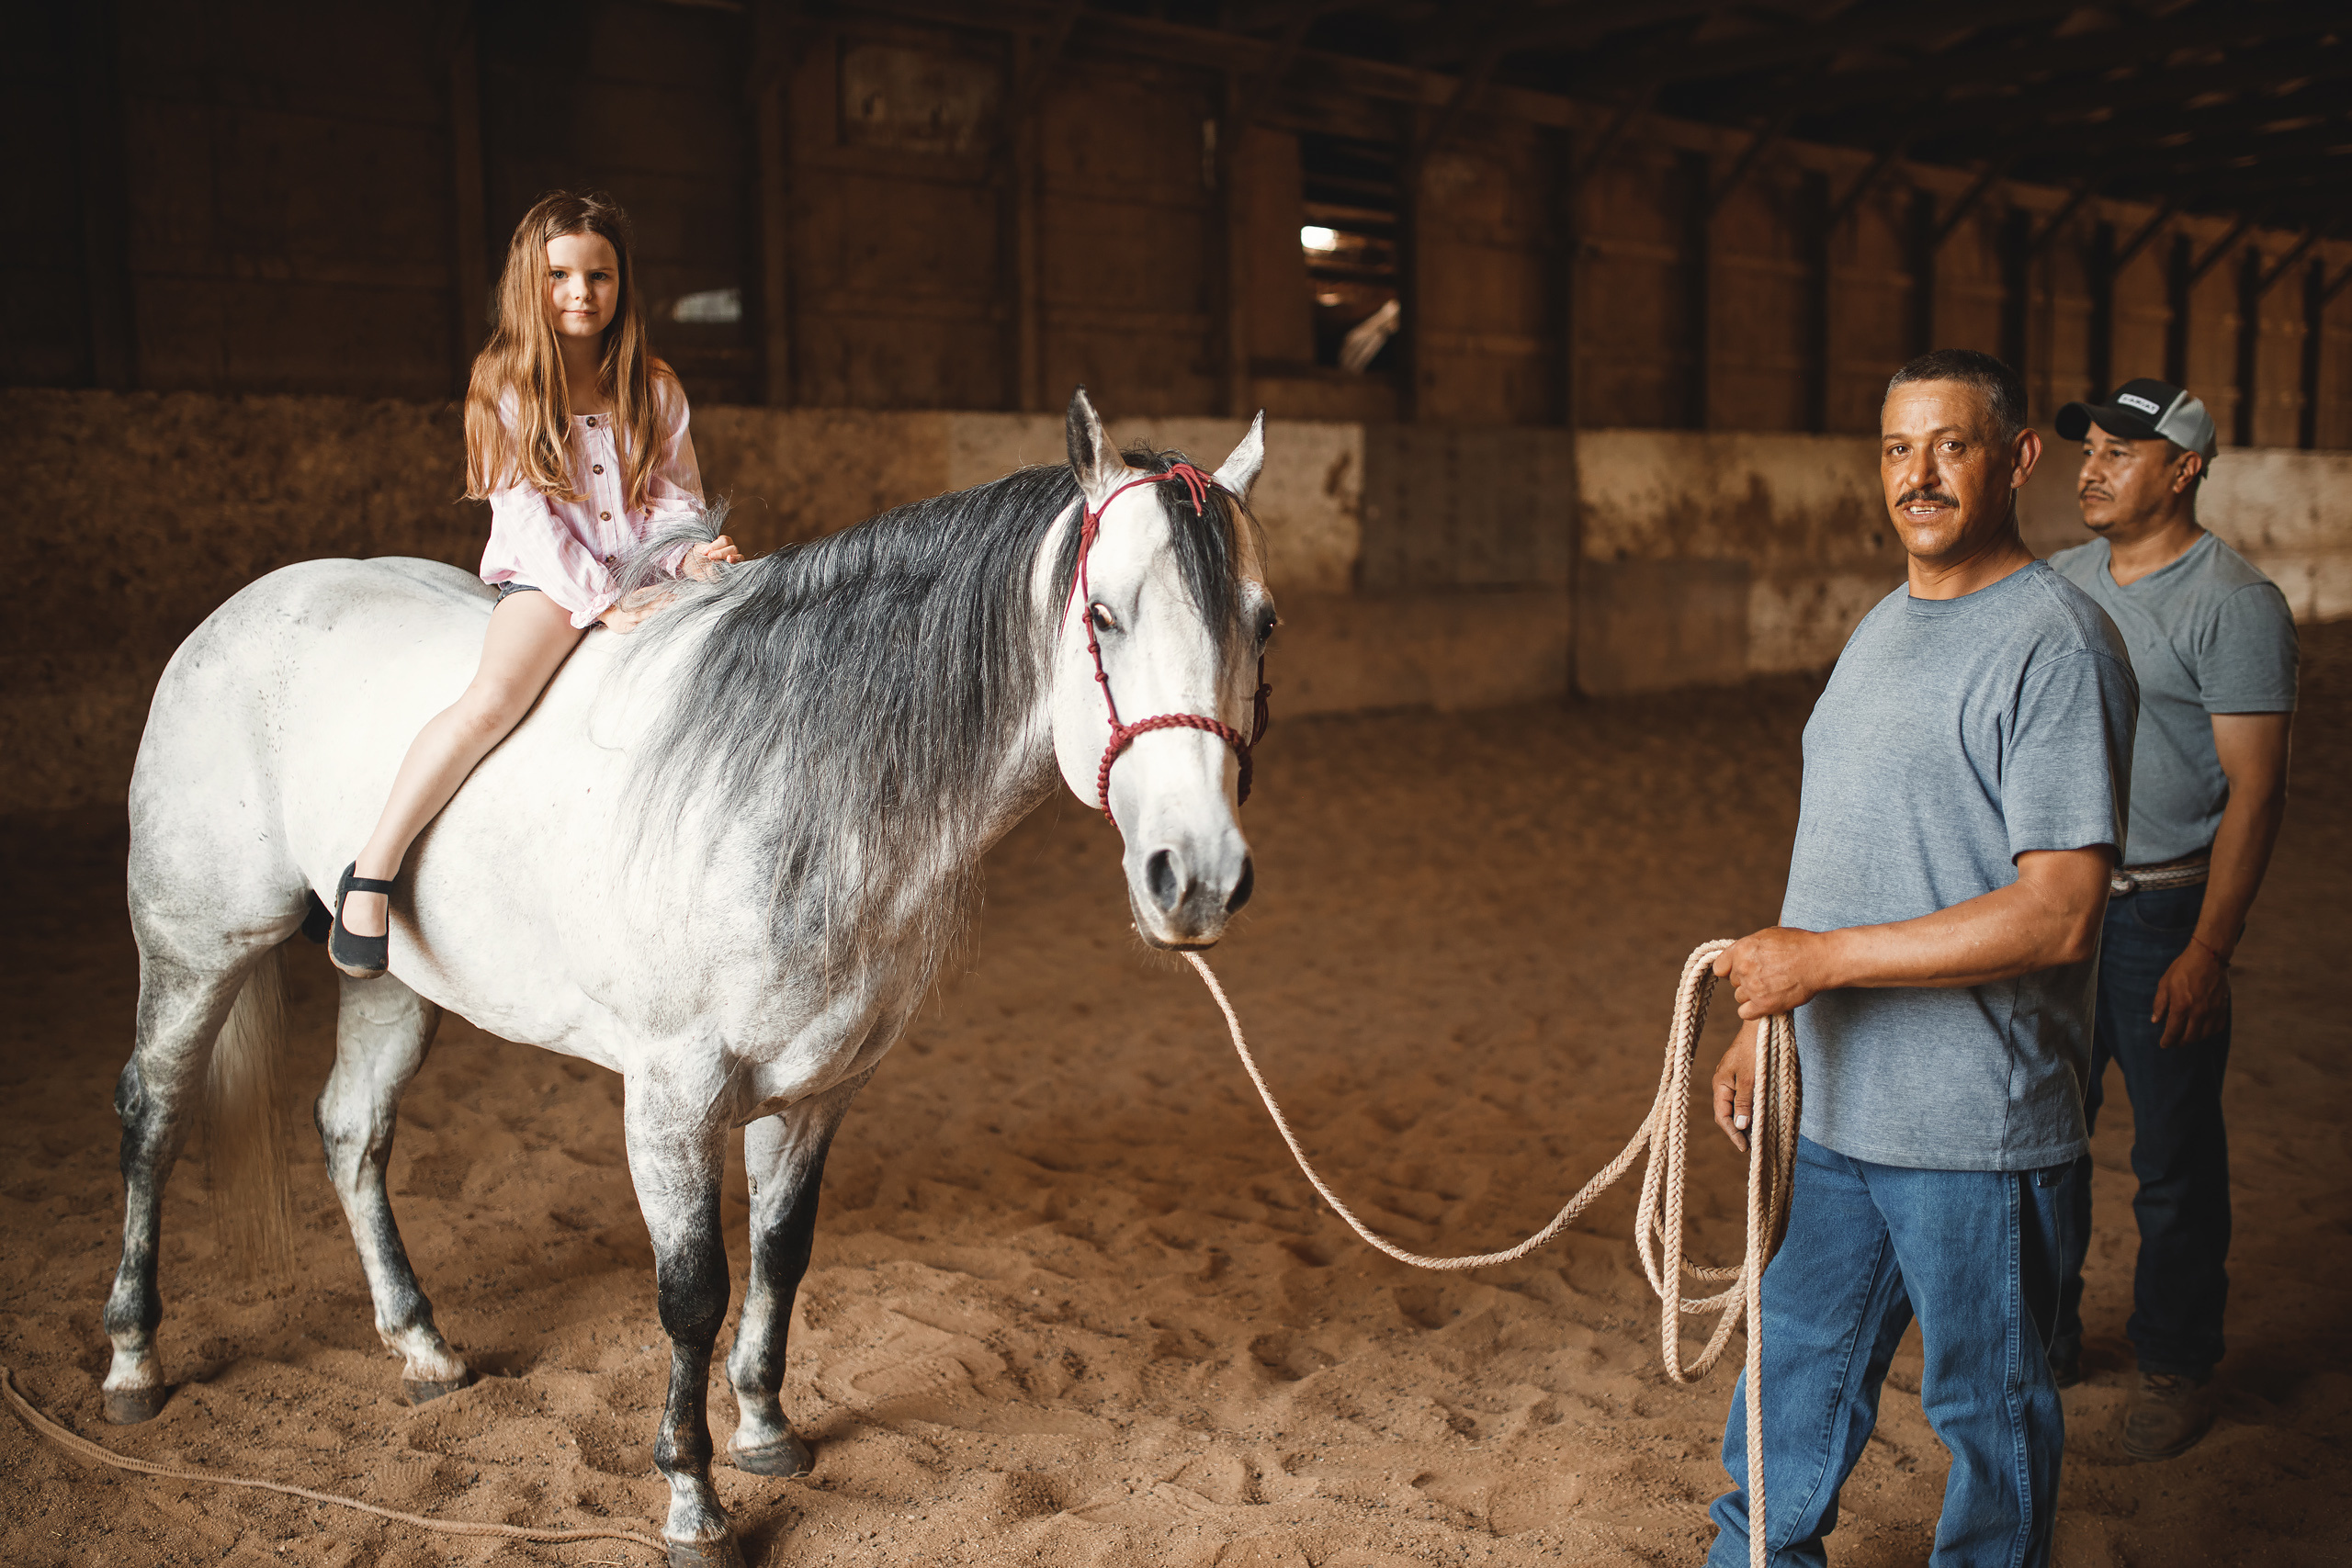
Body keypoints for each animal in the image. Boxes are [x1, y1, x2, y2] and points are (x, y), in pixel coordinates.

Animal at [100, 389, 1277, 1568]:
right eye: (1103, 617)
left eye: (1261, 623)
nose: (1199, 876)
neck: (792, 788)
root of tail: (244, 609)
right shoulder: (669, 1102)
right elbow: (692, 1294)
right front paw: (691, 1500)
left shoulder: (817, 1091)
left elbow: (781, 1255)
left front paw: (764, 1431)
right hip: (195, 948)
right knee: (154, 1113)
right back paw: (132, 1361)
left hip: (393, 982)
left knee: (351, 1126)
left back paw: (423, 1347)